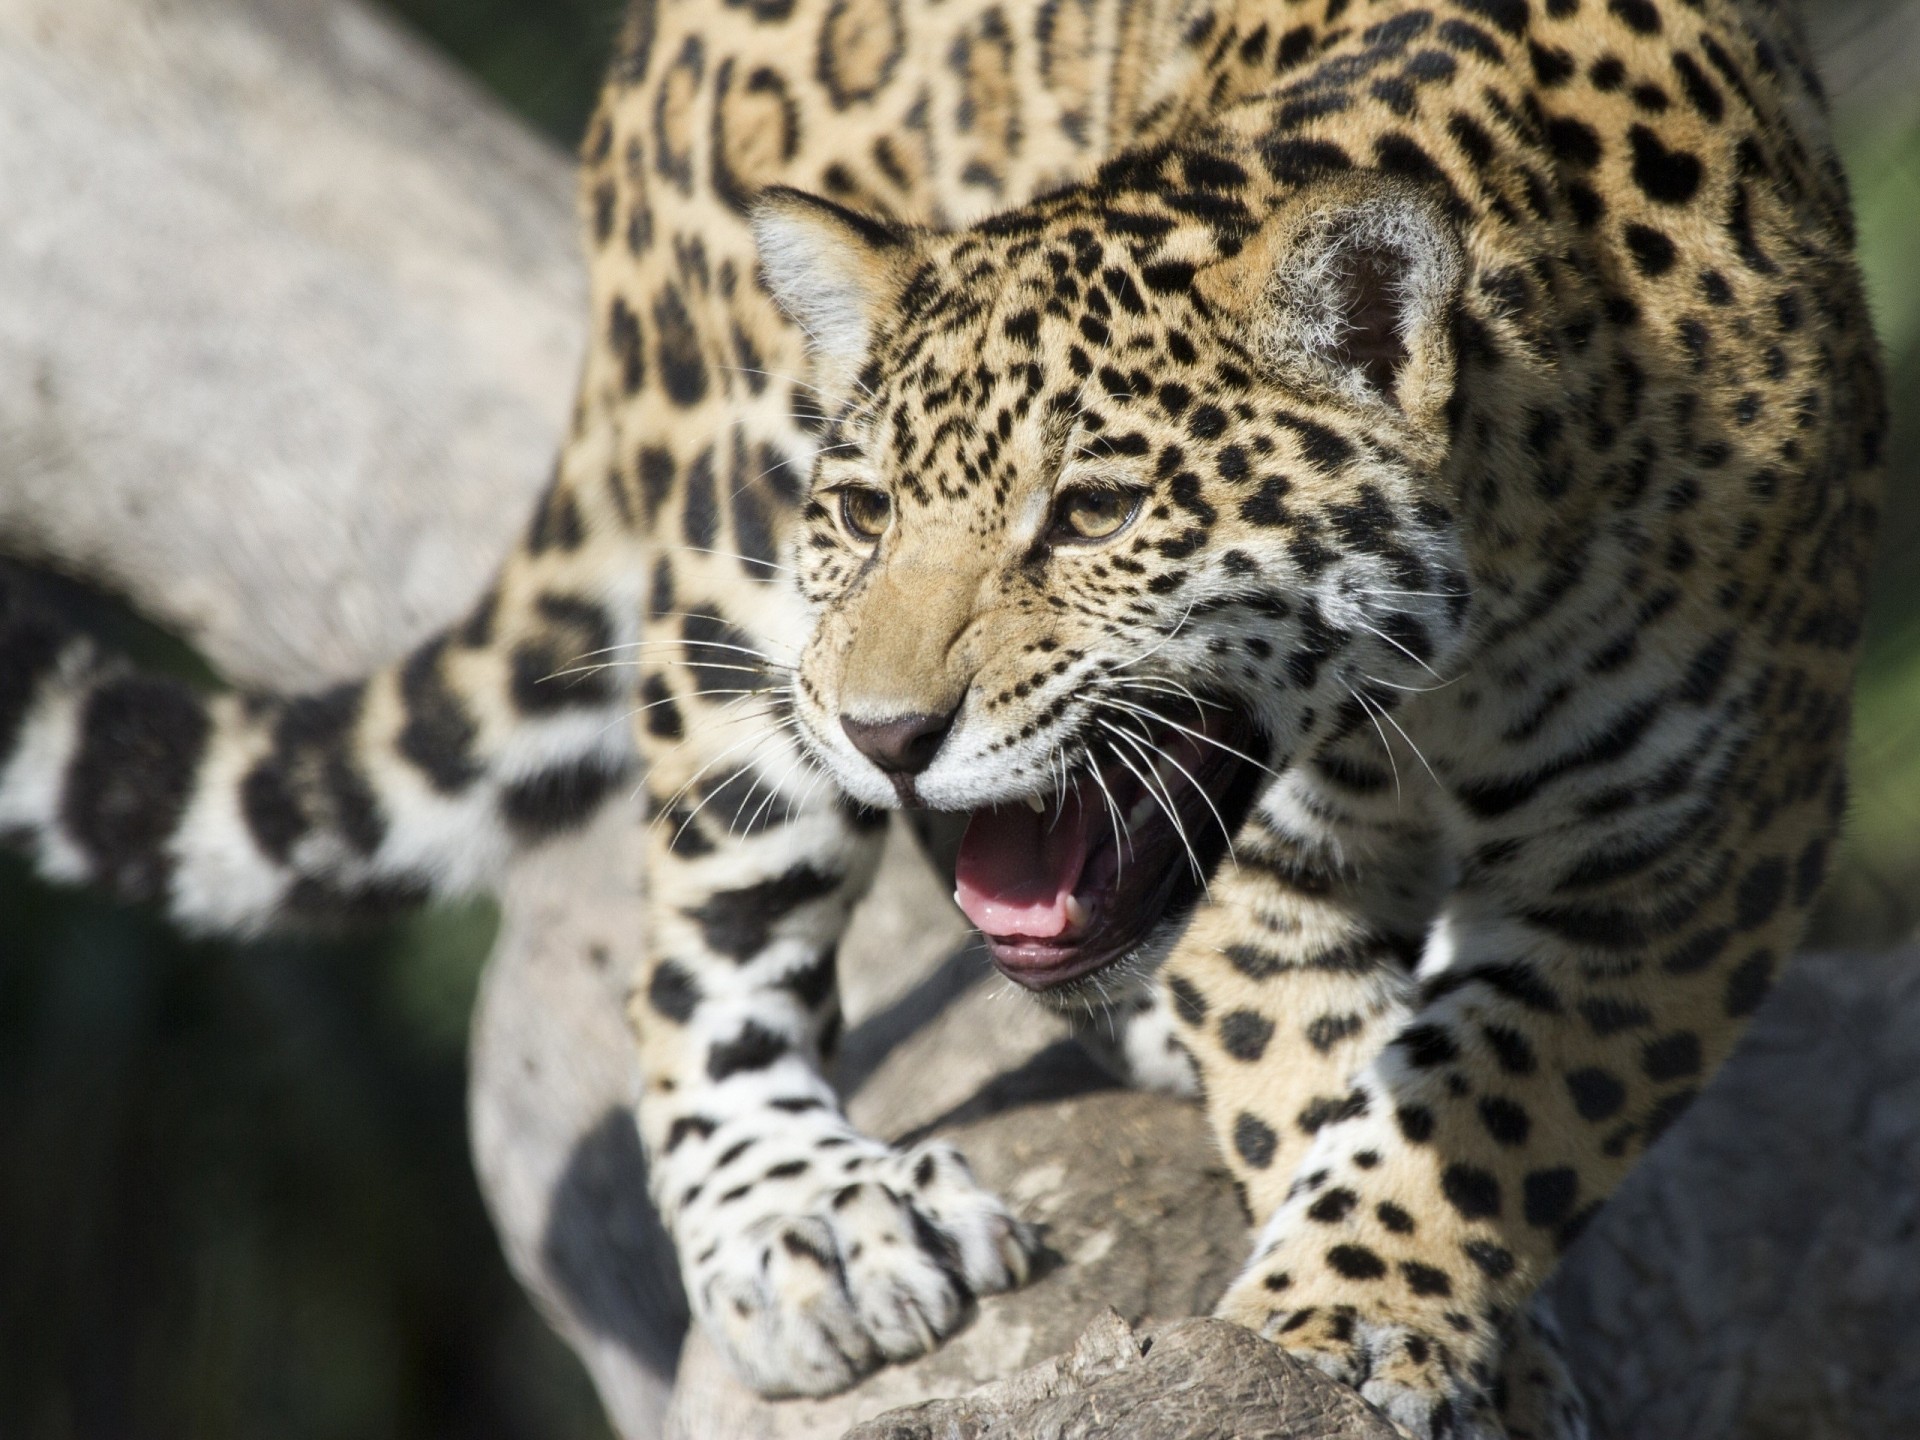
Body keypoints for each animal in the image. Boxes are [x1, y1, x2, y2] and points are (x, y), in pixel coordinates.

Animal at [0, 0, 1883, 1434]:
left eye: (1095, 513)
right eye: (867, 510)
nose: (885, 729)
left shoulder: (1705, 844)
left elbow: (1499, 1099)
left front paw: (1376, 1304)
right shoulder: (1282, 865)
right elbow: (1326, 1071)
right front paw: (1352, 1324)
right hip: (729, 578)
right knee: (699, 949)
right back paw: (809, 1215)